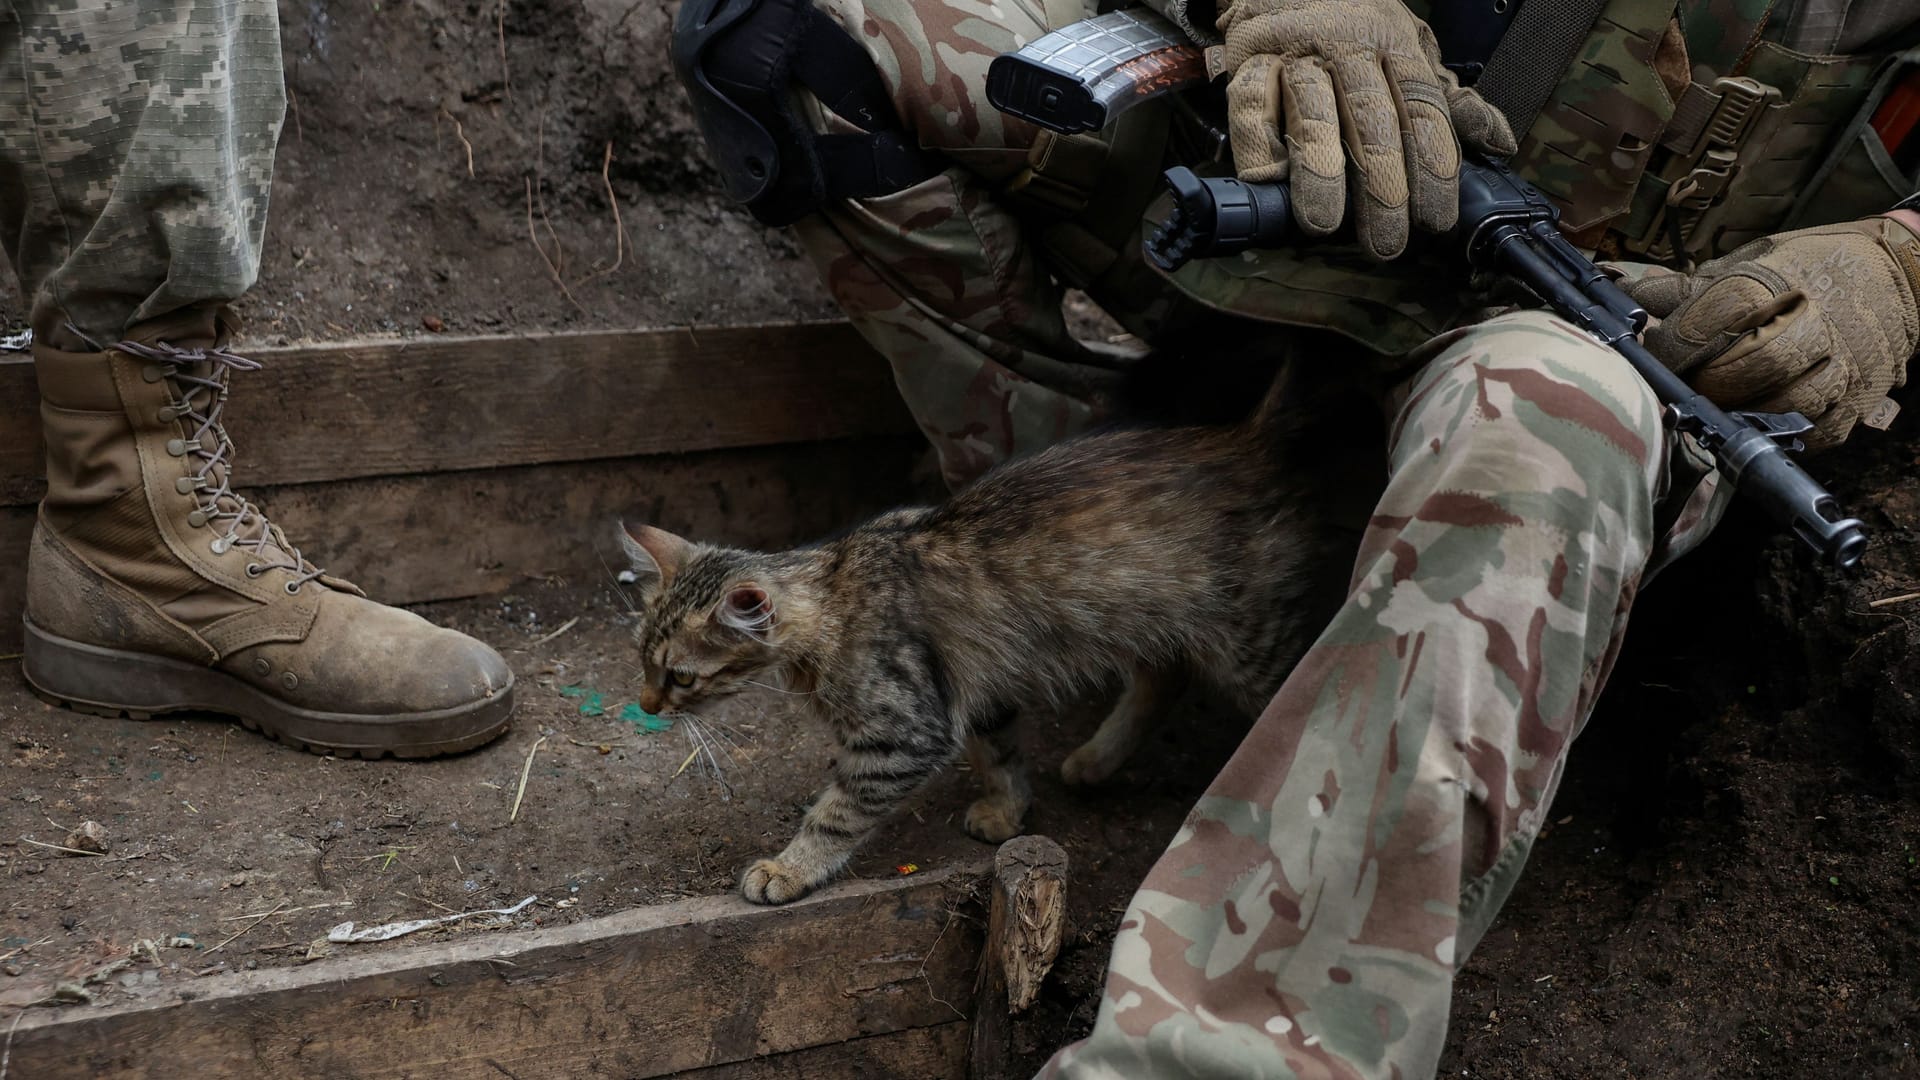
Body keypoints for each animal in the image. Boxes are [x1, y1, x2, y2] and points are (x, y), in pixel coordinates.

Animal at [622, 359, 1374, 899]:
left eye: (679, 677)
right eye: (641, 662)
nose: (647, 705)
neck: (834, 591)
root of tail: (1247, 438)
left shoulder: (904, 734)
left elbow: (836, 812)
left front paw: (789, 868)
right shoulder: (975, 686)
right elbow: (1003, 753)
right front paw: (1009, 813)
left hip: (1250, 640)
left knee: (1298, 697)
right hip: (1155, 617)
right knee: (1164, 677)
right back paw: (1096, 759)